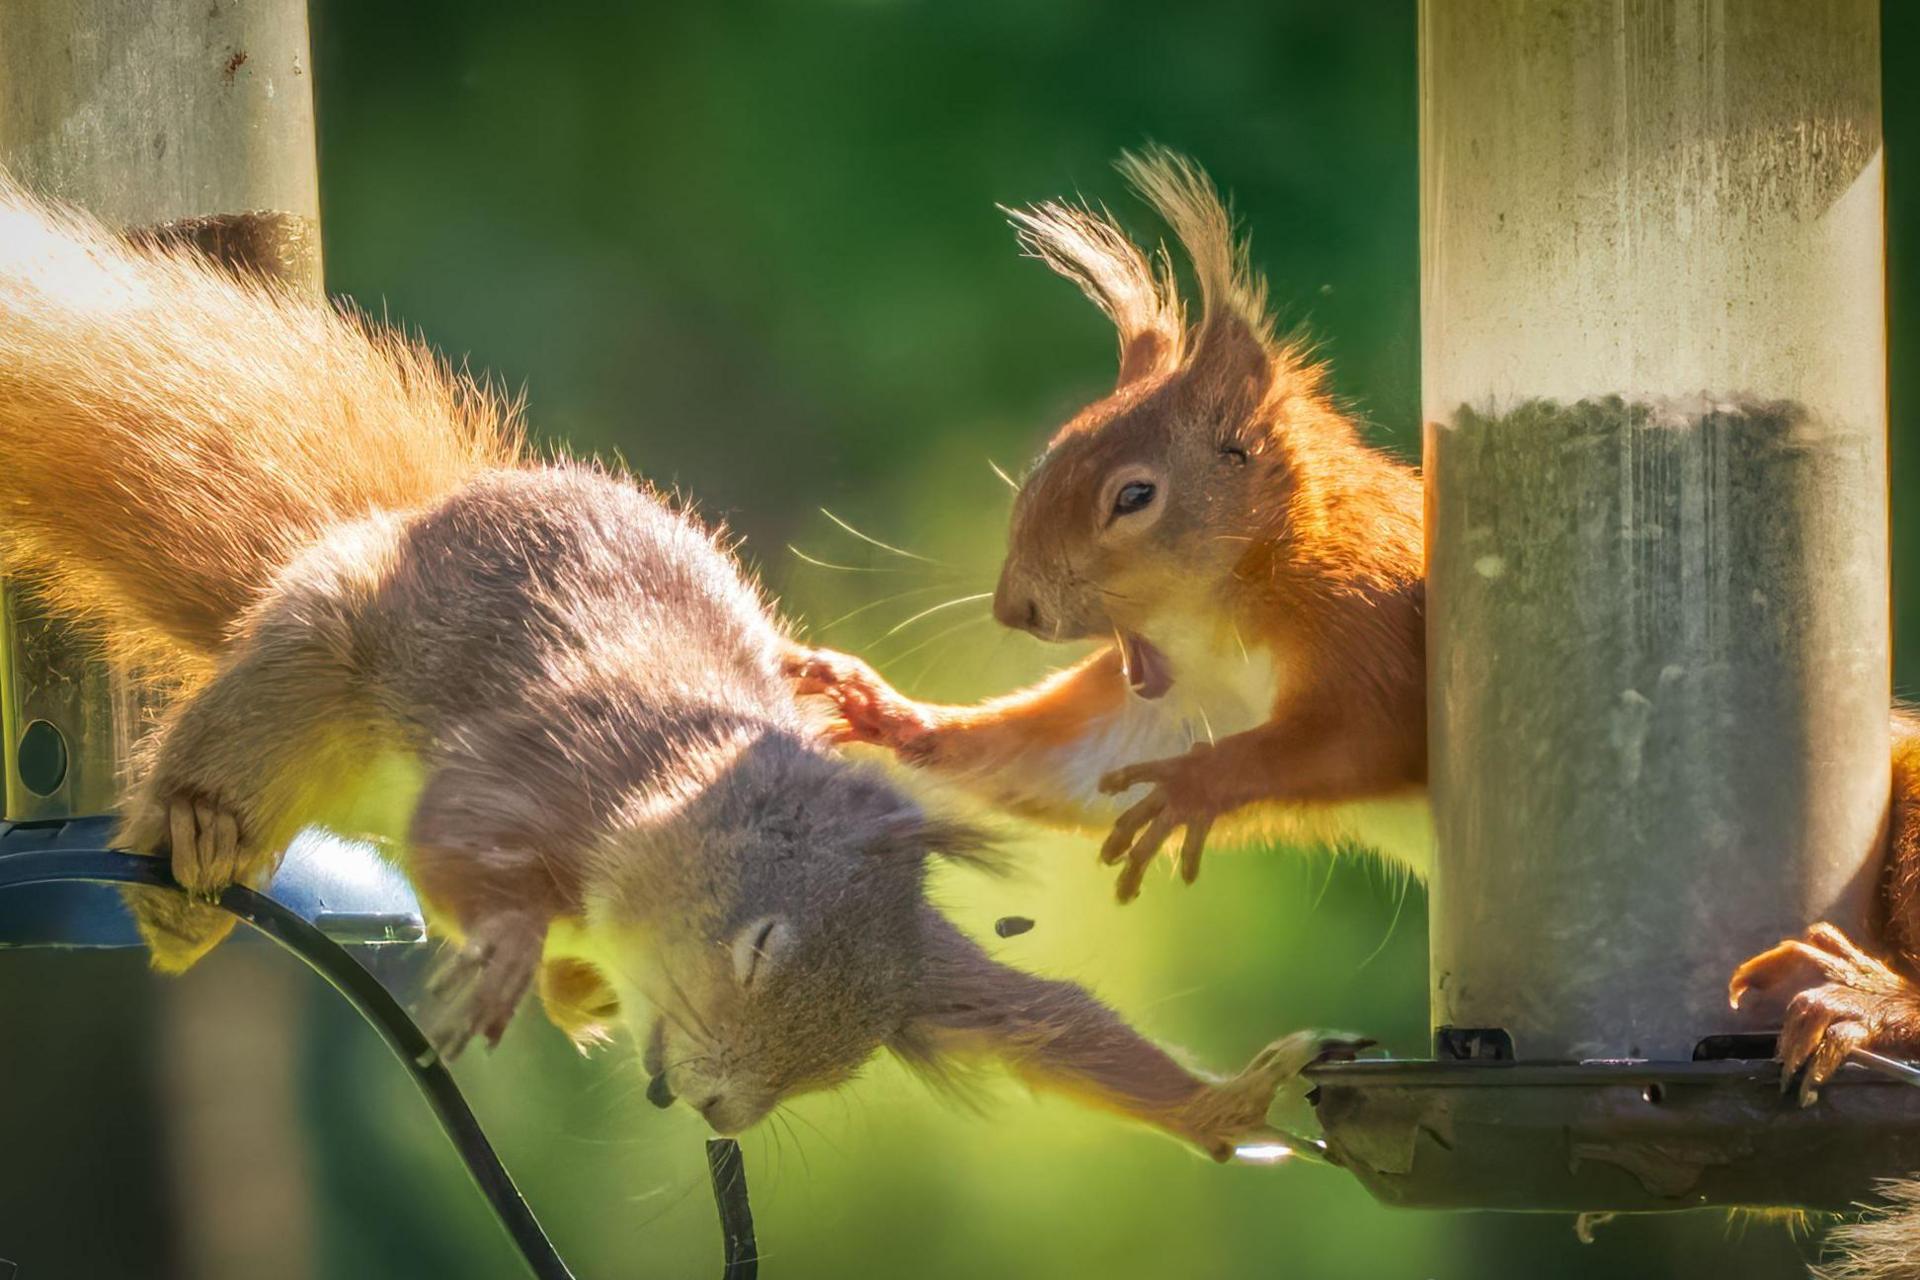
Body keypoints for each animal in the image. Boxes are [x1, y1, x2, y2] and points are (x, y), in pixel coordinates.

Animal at [0, 177, 1367, 1151]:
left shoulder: (923, 968)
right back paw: (198, 854)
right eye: (753, 956)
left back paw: (573, 992)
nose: (716, 1112)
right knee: (233, 755)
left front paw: (1231, 1104)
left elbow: (1055, 1025)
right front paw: (505, 945)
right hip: (316, 658)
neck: (671, 830)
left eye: (843, 1058)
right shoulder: (553, 774)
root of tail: (425, 513)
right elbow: (460, 832)